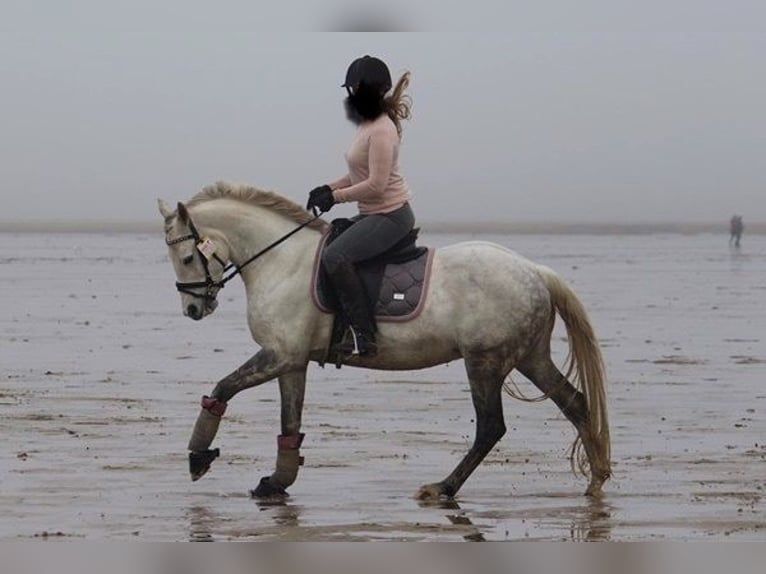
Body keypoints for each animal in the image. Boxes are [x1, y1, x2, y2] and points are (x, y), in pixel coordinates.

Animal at [158, 182, 612, 502]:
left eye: (186, 258)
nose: (193, 309)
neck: (281, 261)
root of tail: (534, 271)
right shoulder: (292, 360)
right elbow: (290, 424)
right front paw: (276, 482)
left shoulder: (279, 355)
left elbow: (224, 387)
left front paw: (198, 456)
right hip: (529, 358)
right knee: (575, 403)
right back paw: (597, 480)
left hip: (484, 362)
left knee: (490, 428)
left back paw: (442, 488)